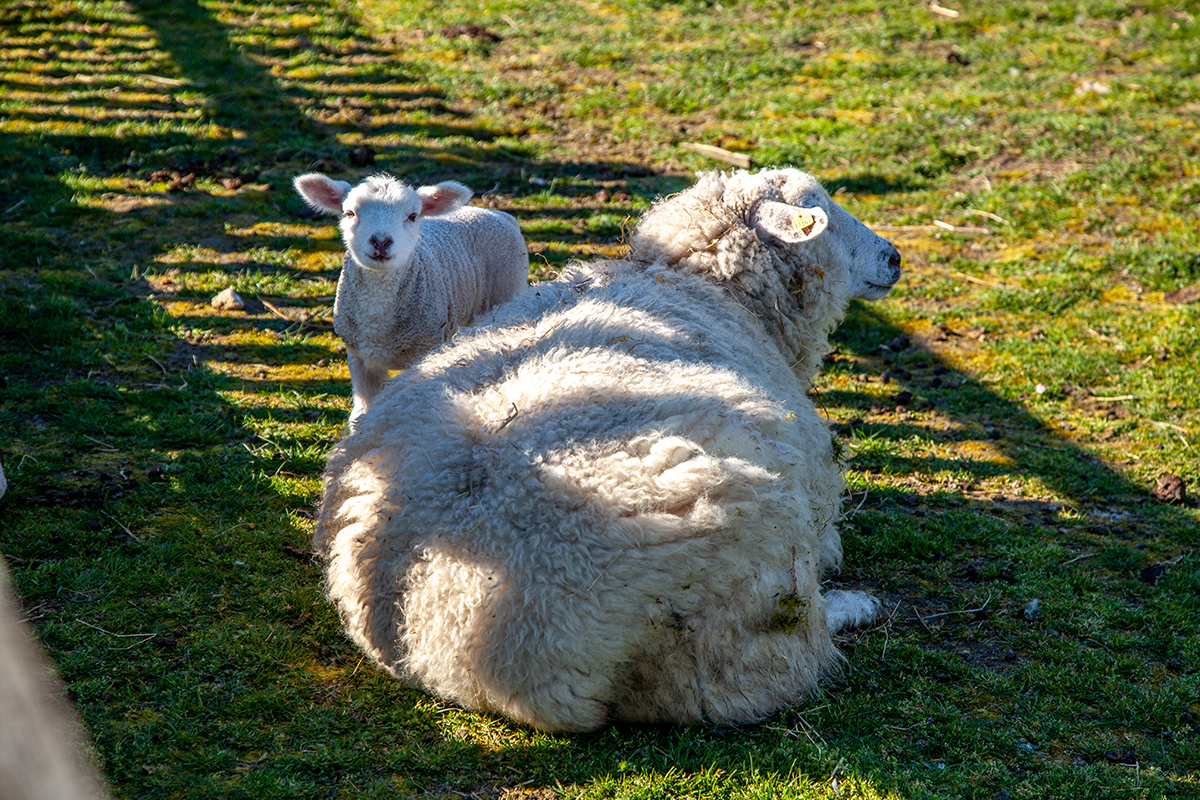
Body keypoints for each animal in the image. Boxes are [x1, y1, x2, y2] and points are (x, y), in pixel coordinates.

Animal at [292, 171, 528, 422]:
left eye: (413, 216)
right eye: (350, 213)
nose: (381, 241)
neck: (377, 324)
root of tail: (498, 213)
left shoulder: (424, 352)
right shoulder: (359, 357)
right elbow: (362, 414)